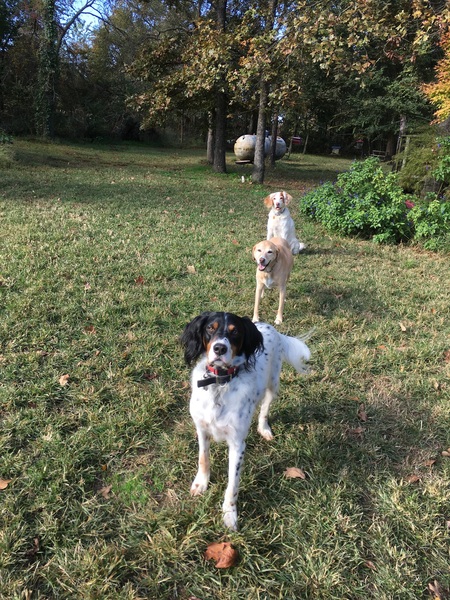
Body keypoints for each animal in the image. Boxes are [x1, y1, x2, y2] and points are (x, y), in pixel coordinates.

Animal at [179, 312, 310, 528]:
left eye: (235, 332)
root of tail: (269, 326)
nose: (220, 348)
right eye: (210, 328)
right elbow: (203, 459)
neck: (219, 384)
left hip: (273, 383)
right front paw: (201, 484)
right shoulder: (202, 429)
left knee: (265, 408)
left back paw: (264, 428)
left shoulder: (237, 444)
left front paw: (229, 514)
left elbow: (232, 485)